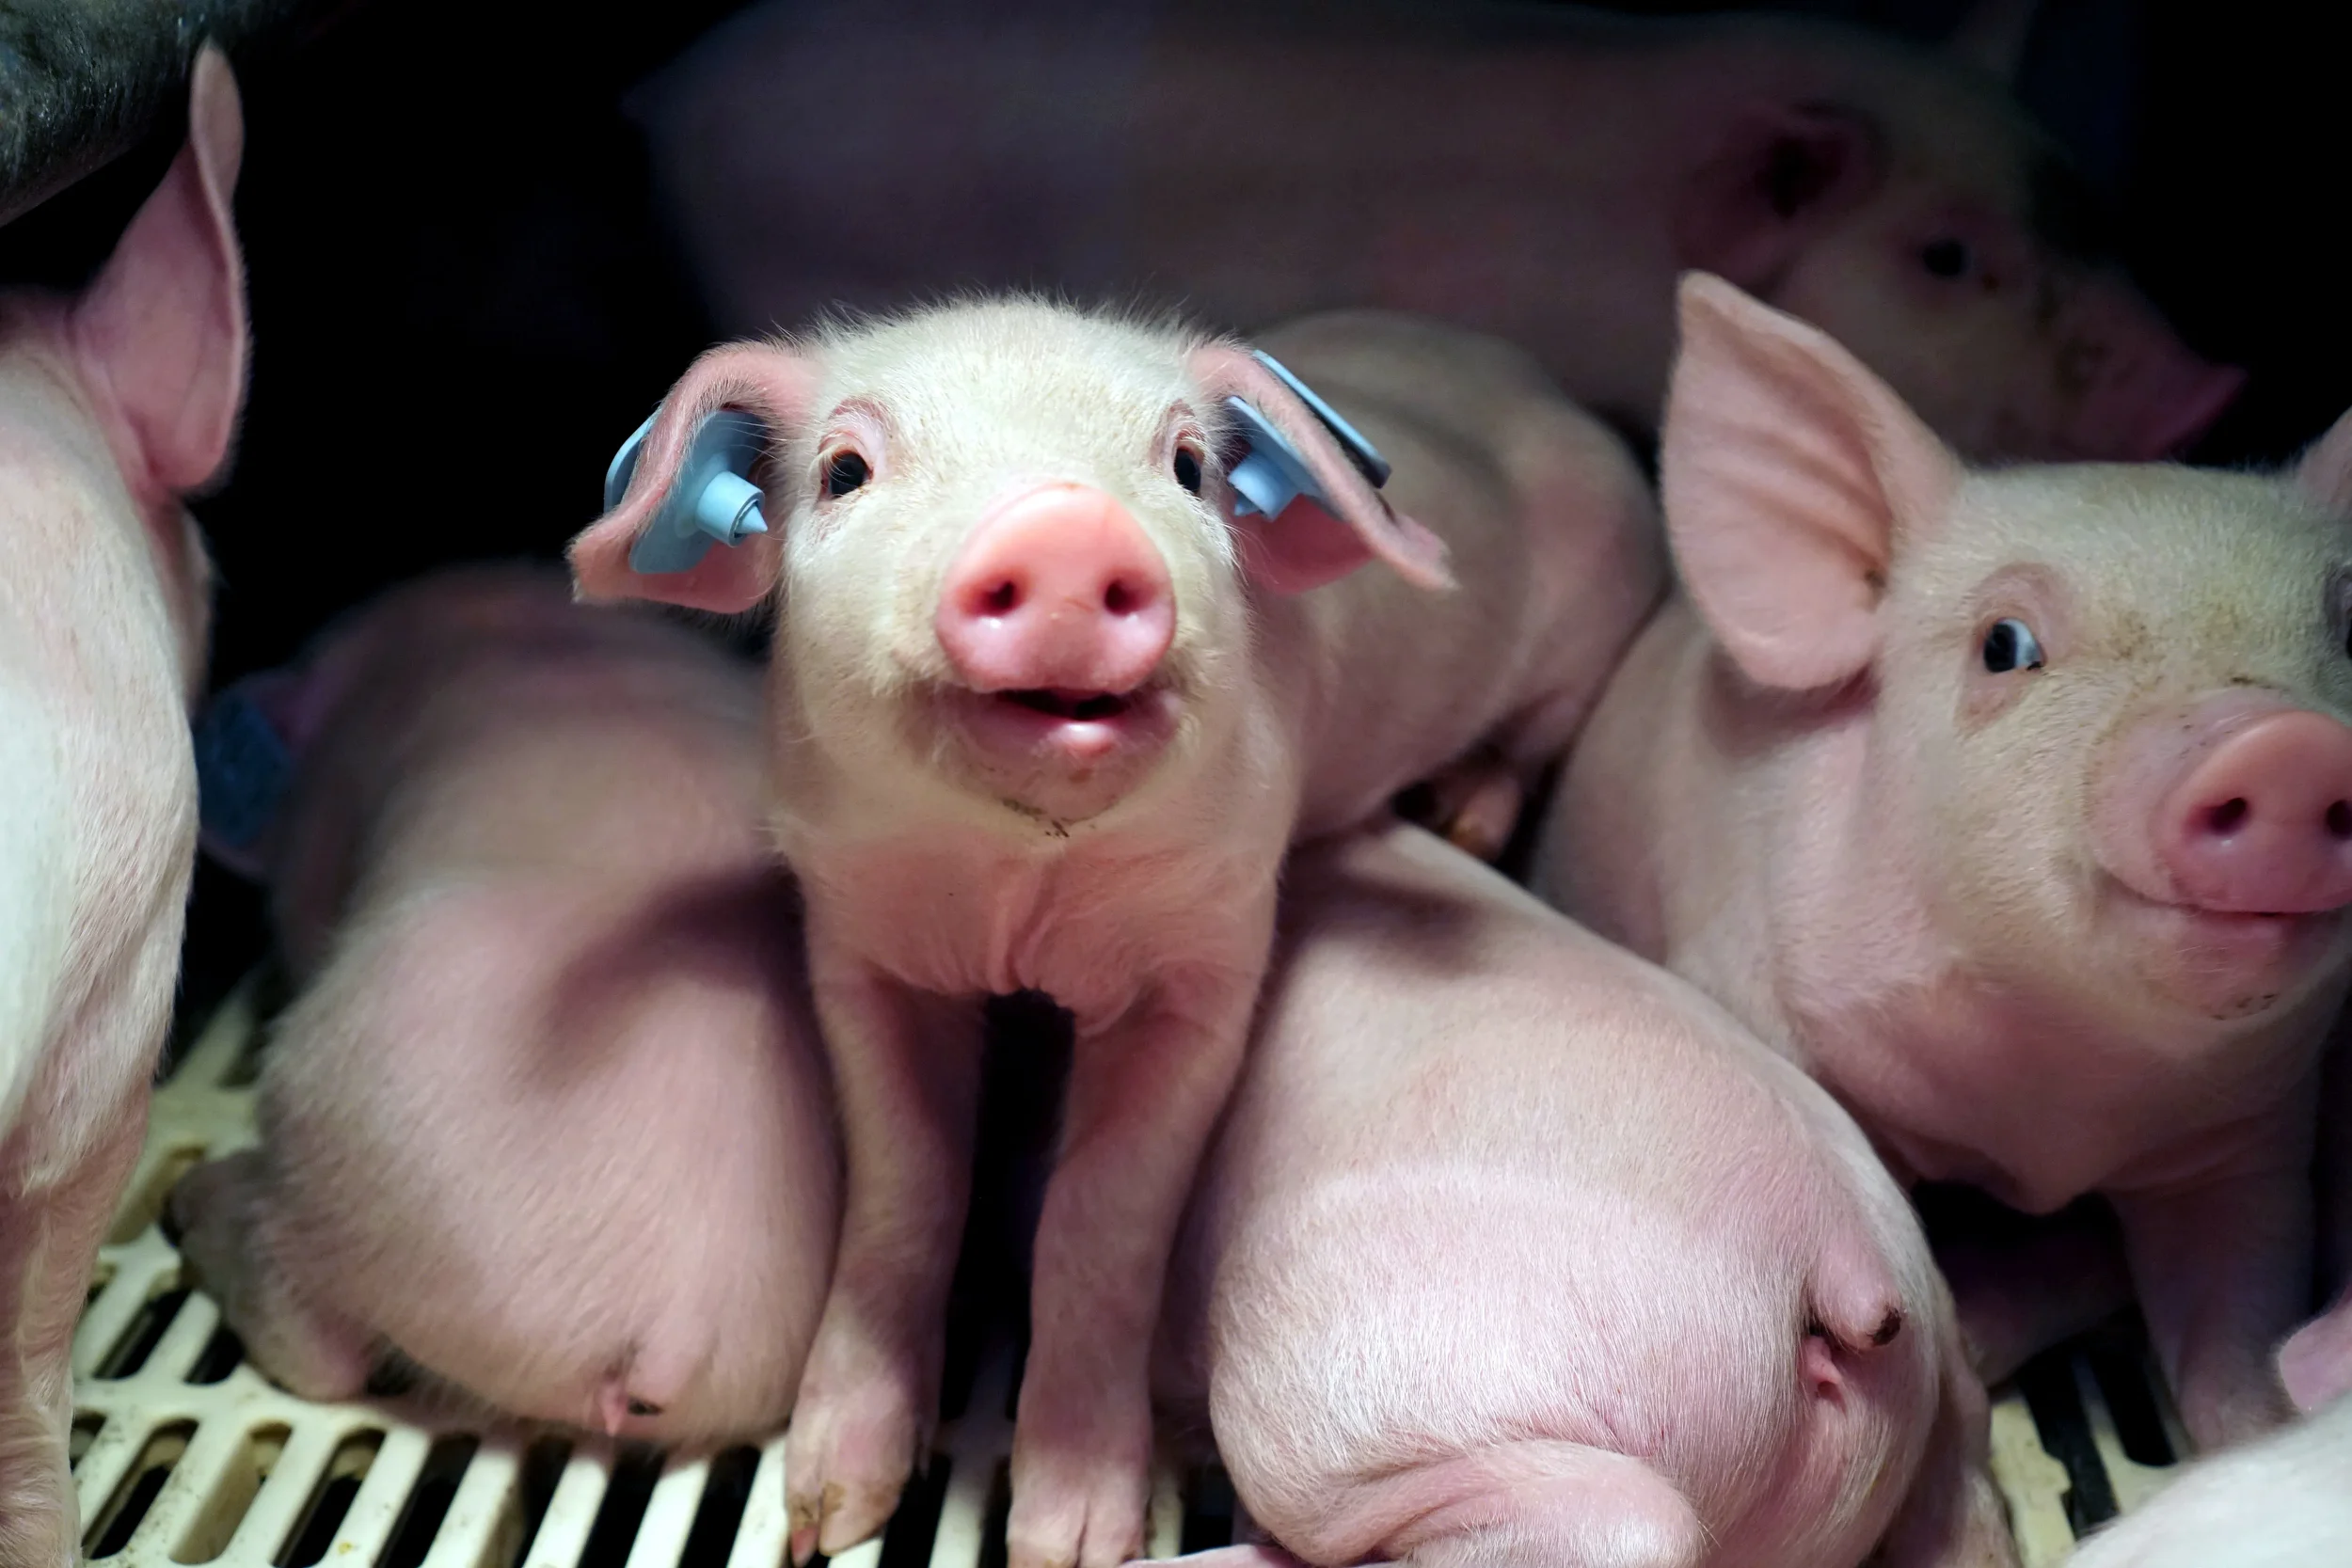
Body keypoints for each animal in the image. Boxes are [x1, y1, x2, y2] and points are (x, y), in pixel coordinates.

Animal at [567, 298, 1662, 1568]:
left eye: (1188, 467)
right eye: (843, 469)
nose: (1065, 524)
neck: (1019, 888)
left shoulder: (1204, 958)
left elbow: (1100, 1217)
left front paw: (1071, 1541)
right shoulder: (861, 941)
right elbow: (906, 1181)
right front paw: (828, 1515)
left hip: (1583, 639)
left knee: (1528, 743)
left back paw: (1465, 819)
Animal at [1535, 271, 2352, 1453]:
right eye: (2004, 644)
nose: (2285, 742)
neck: (2053, 1105)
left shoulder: (2249, 1135)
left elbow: (2232, 1330)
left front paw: (2259, 1422)